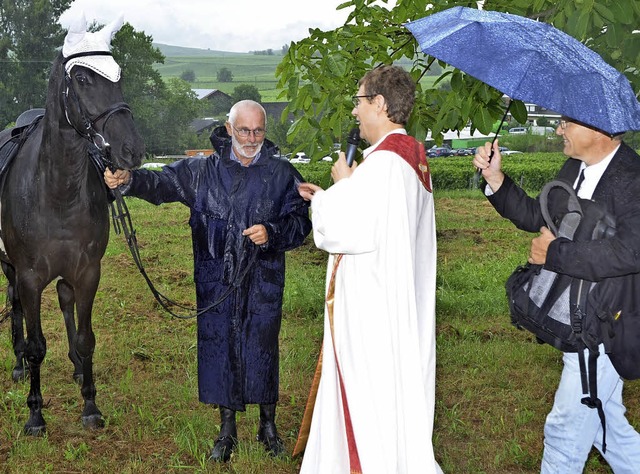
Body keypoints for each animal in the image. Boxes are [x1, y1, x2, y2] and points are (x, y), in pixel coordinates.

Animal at [0, 16, 142, 436]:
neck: (56, 190)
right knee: (14, 304)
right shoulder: (30, 278)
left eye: (118, 75)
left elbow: (86, 338)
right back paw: (17, 365)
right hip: (10, 269)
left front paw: (90, 406)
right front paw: (35, 414)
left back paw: (77, 369)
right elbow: (36, 345)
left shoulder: (87, 272)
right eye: (81, 78)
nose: (131, 150)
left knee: (65, 302)